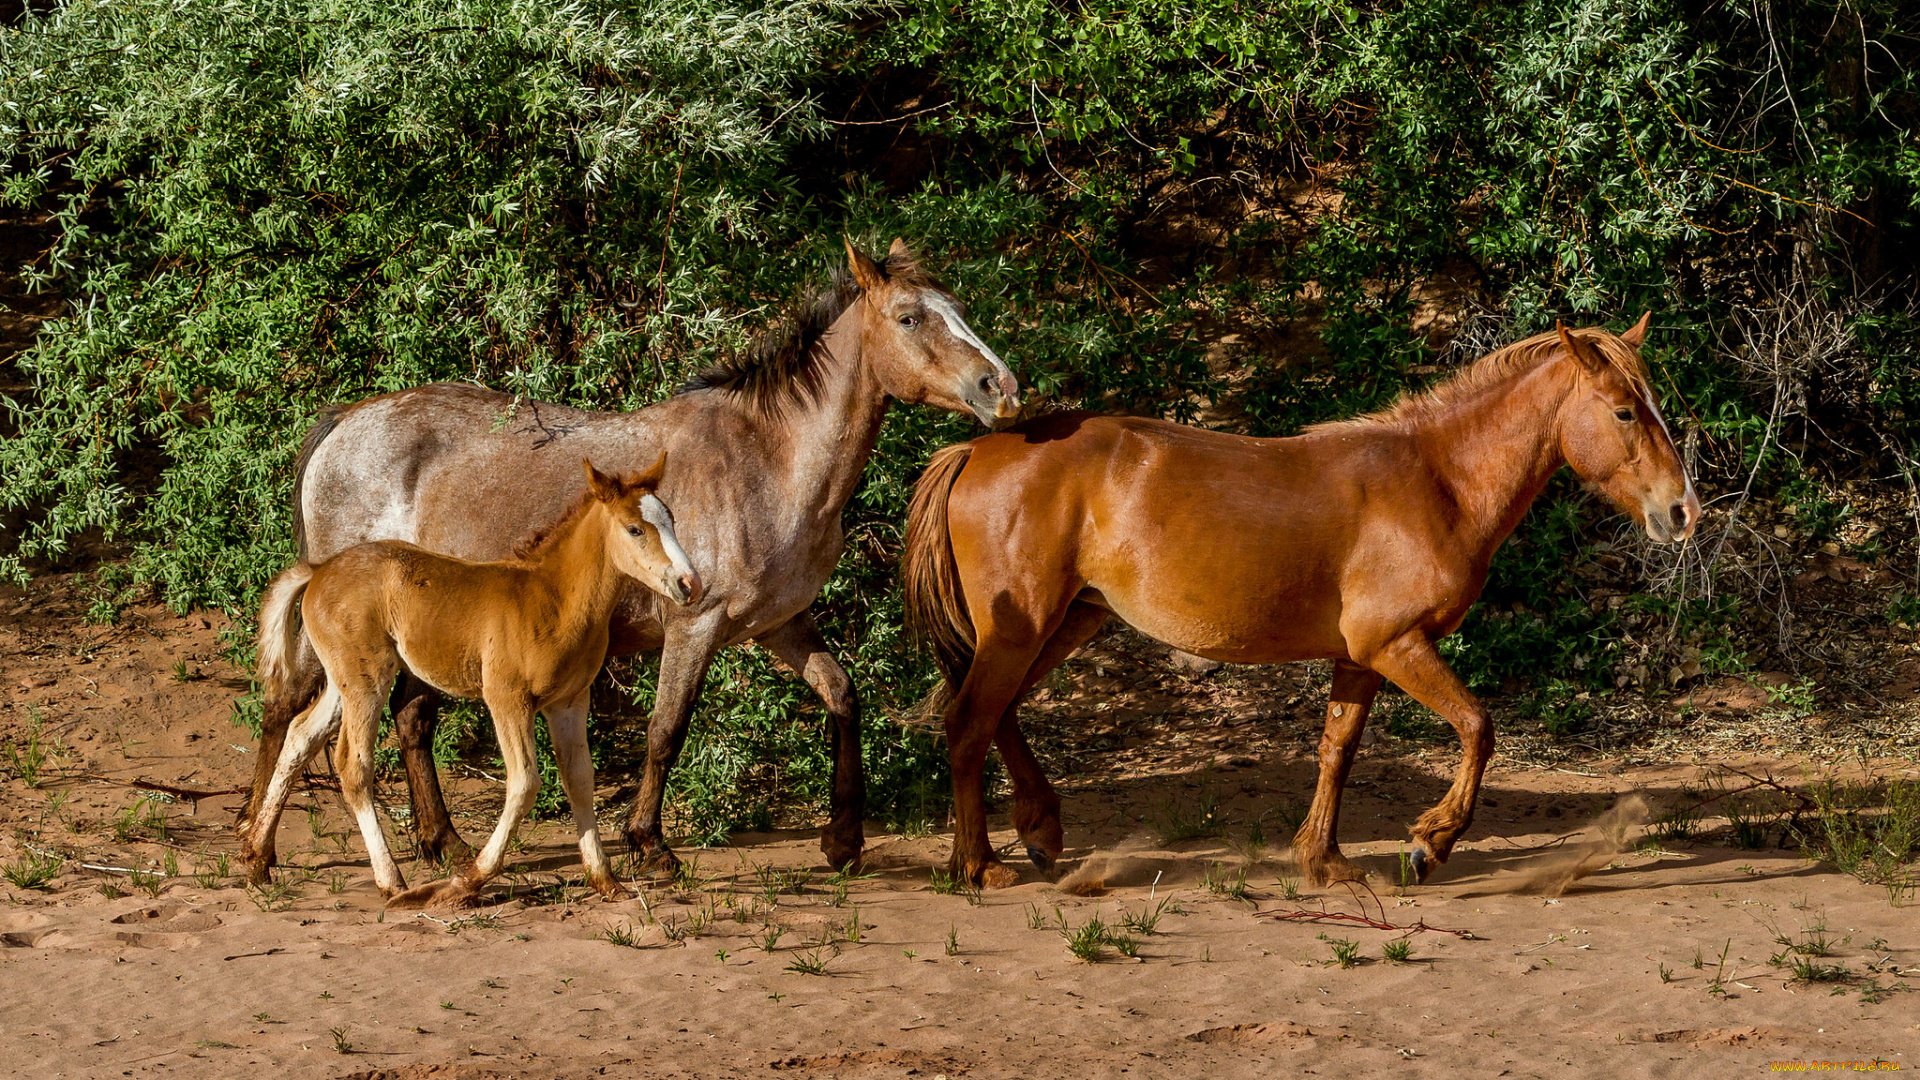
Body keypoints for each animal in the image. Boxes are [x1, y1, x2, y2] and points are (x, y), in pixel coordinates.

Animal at [241, 453, 698, 899]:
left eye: (672, 520)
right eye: (635, 529)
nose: (689, 583)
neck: (552, 600)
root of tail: (318, 570)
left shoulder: (569, 703)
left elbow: (580, 781)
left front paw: (606, 880)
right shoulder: (507, 699)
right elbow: (524, 784)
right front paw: (467, 881)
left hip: (347, 680)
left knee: (300, 736)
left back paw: (258, 858)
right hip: (367, 681)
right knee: (353, 766)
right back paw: (391, 881)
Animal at [898, 315, 1697, 887]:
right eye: (1624, 413)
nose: (1683, 511)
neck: (1435, 481)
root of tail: (977, 449)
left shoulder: (1363, 657)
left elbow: (1336, 750)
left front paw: (1324, 859)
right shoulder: (1398, 645)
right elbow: (1478, 727)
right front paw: (1429, 843)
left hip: (1064, 624)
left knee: (993, 713)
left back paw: (1040, 830)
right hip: (1023, 629)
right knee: (968, 722)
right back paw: (979, 866)